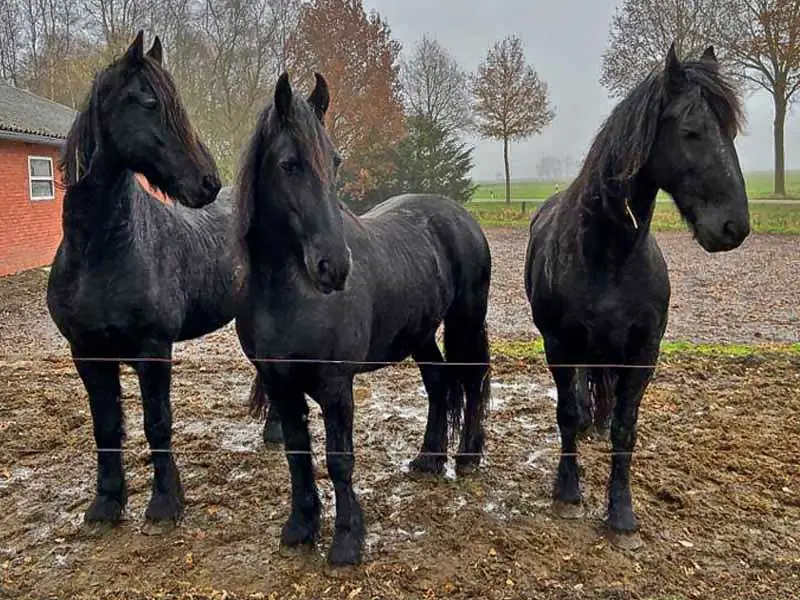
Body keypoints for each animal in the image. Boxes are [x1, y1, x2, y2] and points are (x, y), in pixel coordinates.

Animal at [46, 31, 264, 534]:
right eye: (148, 103)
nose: (207, 182)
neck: (101, 252)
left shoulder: (153, 348)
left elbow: (156, 423)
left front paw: (165, 503)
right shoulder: (87, 353)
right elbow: (106, 426)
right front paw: (106, 504)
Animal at [233, 72, 492, 565]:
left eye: (335, 161)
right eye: (289, 164)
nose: (334, 267)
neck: (288, 295)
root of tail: (460, 215)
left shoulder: (336, 387)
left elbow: (339, 458)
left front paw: (347, 540)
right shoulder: (280, 384)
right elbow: (297, 454)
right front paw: (300, 526)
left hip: (466, 321)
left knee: (470, 380)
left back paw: (467, 457)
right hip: (421, 334)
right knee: (438, 383)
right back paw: (429, 459)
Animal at [524, 44, 749, 550]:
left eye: (730, 132)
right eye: (691, 131)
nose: (735, 227)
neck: (608, 254)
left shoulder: (643, 352)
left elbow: (626, 430)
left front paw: (621, 517)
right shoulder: (559, 345)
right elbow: (566, 412)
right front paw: (568, 495)